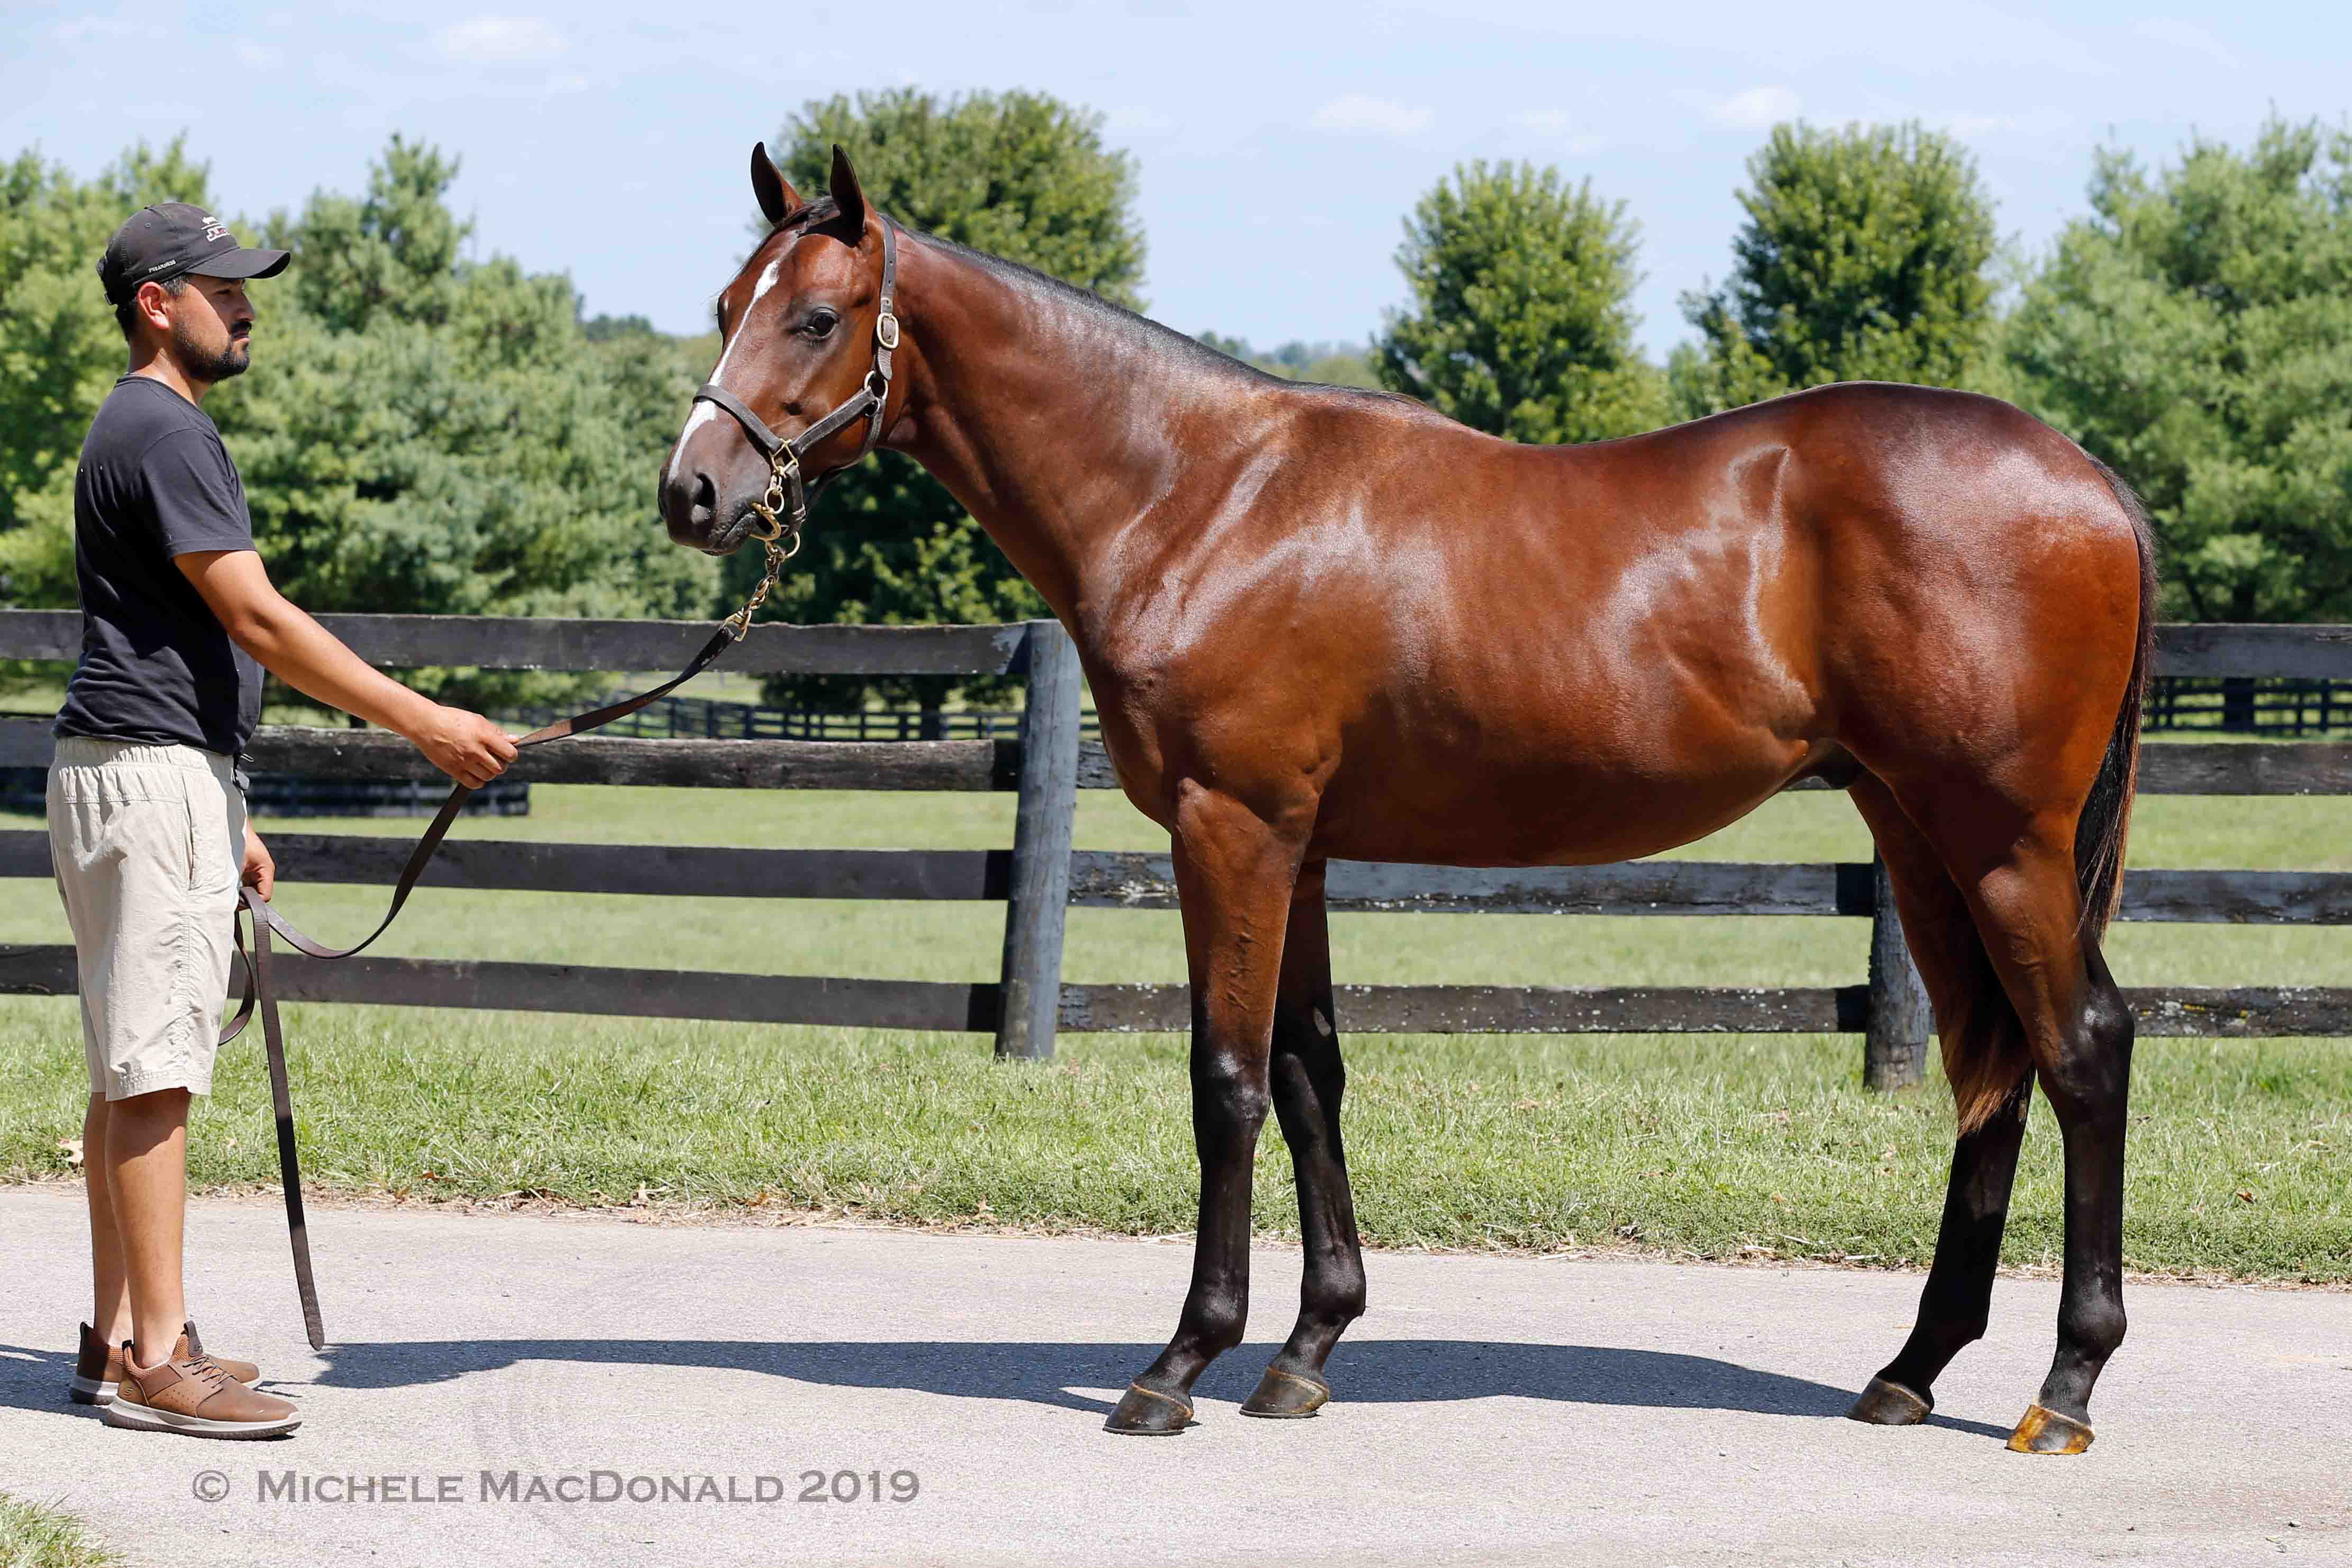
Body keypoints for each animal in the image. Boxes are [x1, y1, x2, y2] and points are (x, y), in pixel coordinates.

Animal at [658, 147, 2154, 1457]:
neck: (1201, 495)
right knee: (1991, 1067)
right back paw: (1910, 1370)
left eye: (816, 315)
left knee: (2081, 1049)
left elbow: (1226, 1081)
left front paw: (1178, 1366)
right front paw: (1307, 1352)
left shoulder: (1230, 827)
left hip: (2002, 842)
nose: (694, 492)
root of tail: (2086, 477)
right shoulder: (1300, 848)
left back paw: (2067, 1388)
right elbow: (1310, 1072)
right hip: (1918, 835)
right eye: (727, 306)